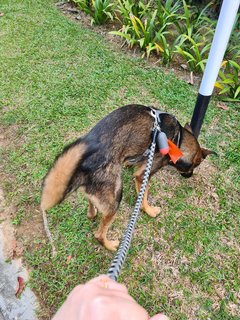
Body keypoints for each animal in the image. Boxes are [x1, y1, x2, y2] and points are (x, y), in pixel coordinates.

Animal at [40, 104, 215, 254]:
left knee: (91, 207)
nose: (190, 176)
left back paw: (93, 213)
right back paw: (110, 245)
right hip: (116, 197)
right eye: (194, 166)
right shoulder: (144, 174)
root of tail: (83, 166)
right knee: (99, 234)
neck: (179, 139)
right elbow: (143, 196)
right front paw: (149, 210)